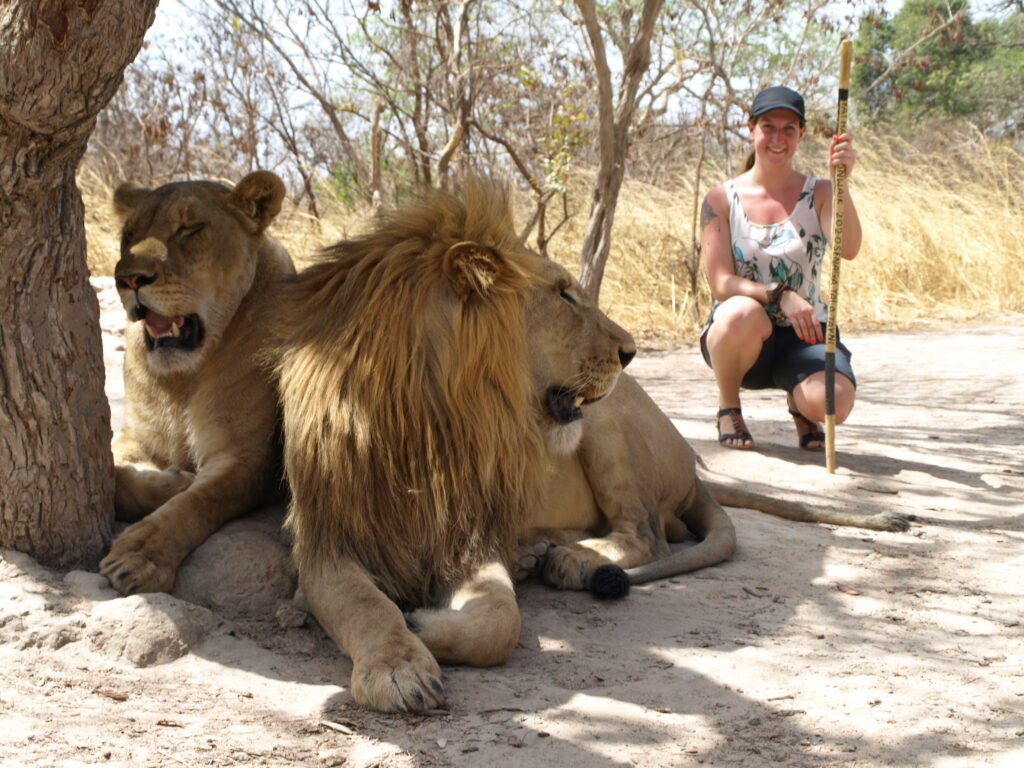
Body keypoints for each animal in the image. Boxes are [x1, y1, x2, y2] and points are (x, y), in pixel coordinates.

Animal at [99, 173, 294, 593]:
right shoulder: (136, 436)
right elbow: (113, 474)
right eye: (129, 234)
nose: (128, 278)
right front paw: (171, 482)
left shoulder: (248, 458)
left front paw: (140, 556)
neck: (181, 379)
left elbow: (200, 501)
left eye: (189, 228)